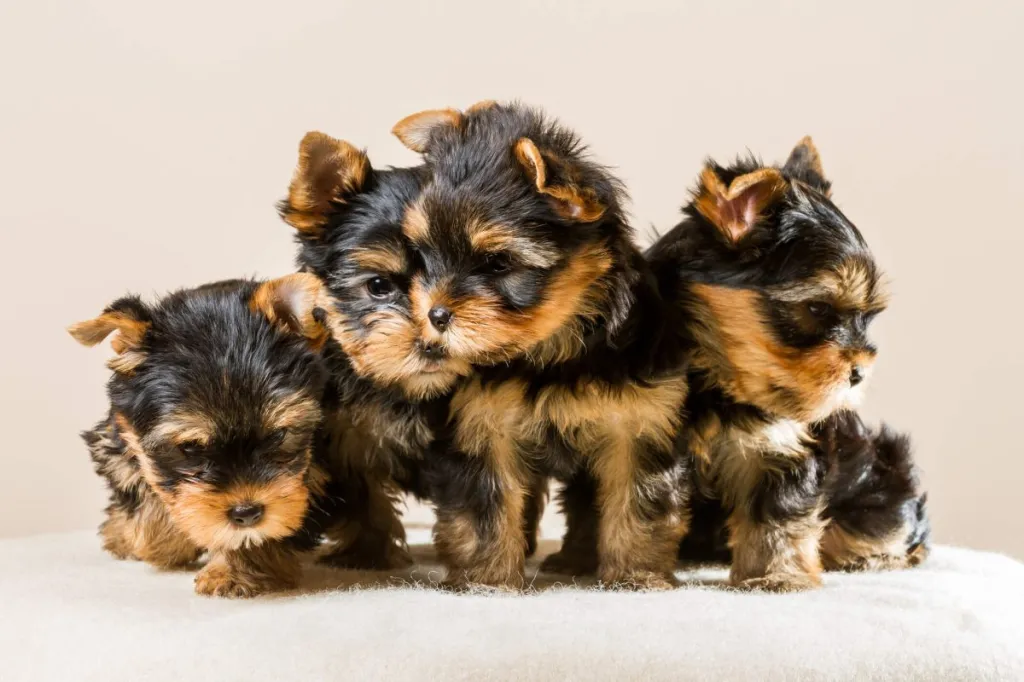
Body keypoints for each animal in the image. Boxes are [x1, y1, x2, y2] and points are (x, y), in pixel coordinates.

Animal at [71, 274, 352, 593]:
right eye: (191, 447)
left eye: (278, 436)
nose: (247, 512)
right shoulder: (117, 434)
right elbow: (143, 481)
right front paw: (164, 542)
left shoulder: (312, 470)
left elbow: (261, 529)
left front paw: (233, 571)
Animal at [276, 130, 548, 565]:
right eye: (379, 286)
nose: (434, 338)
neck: (413, 391)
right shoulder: (347, 434)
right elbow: (364, 496)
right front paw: (367, 555)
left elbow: (478, 502)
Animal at [387, 100, 692, 589]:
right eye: (424, 255)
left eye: (498, 263)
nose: (435, 315)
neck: (552, 350)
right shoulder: (481, 424)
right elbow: (486, 503)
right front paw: (486, 579)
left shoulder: (638, 422)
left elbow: (636, 499)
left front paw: (637, 575)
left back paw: (575, 559)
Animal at [552, 135, 929, 585]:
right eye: (817, 309)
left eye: (868, 318)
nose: (859, 372)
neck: (710, 374)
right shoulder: (620, 423)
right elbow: (599, 500)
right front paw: (579, 559)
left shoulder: (779, 443)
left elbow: (778, 515)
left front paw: (776, 577)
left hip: (882, 473)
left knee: (889, 517)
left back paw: (871, 556)